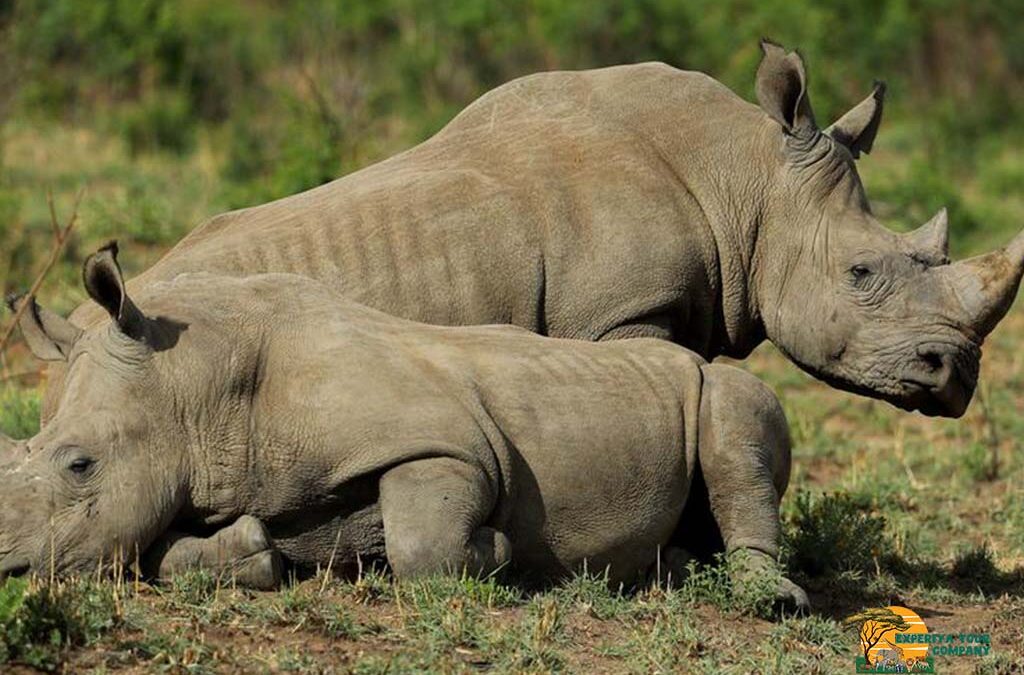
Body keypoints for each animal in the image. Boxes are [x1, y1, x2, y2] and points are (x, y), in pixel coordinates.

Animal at [0, 244, 806, 610]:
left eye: (79, 464)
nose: (10, 569)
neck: (194, 387)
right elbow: (162, 551)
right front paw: (256, 552)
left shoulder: (445, 442)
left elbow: (425, 541)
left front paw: (500, 551)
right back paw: (671, 570)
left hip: (720, 385)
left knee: (734, 419)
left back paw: (766, 597)